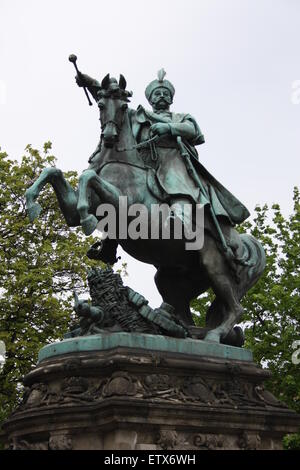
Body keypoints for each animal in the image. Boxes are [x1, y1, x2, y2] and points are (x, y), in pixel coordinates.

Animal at [25, 74, 264, 346]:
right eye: (100, 104)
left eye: (122, 106)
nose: (109, 136)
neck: (119, 162)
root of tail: (243, 241)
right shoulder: (72, 211)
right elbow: (53, 171)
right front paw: (31, 201)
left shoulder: (123, 207)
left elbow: (88, 177)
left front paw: (87, 217)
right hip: (171, 280)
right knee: (184, 315)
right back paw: (182, 333)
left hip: (214, 264)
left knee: (235, 308)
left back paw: (213, 336)